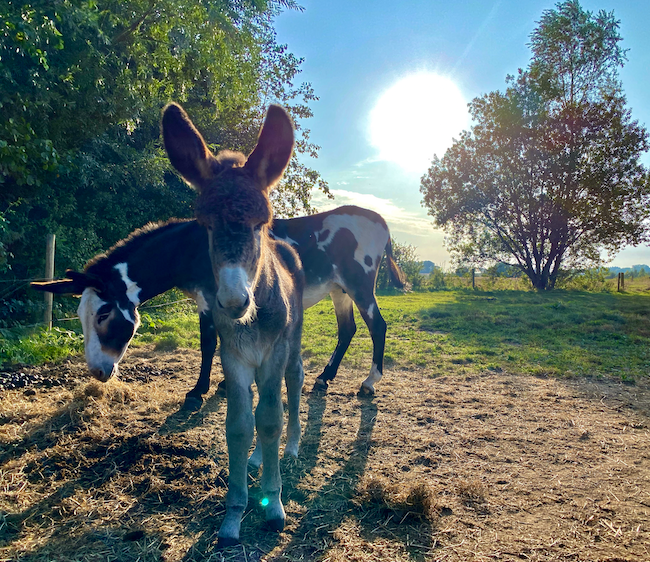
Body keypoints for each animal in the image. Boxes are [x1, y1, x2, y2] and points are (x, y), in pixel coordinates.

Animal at [161, 103, 306, 544]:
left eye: (260, 224)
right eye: (206, 226)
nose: (232, 301)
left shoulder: (273, 351)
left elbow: (271, 419)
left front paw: (273, 507)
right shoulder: (234, 356)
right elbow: (240, 426)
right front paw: (234, 514)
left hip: (292, 345)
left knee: (294, 384)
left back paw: (292, 447)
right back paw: (258, 458)